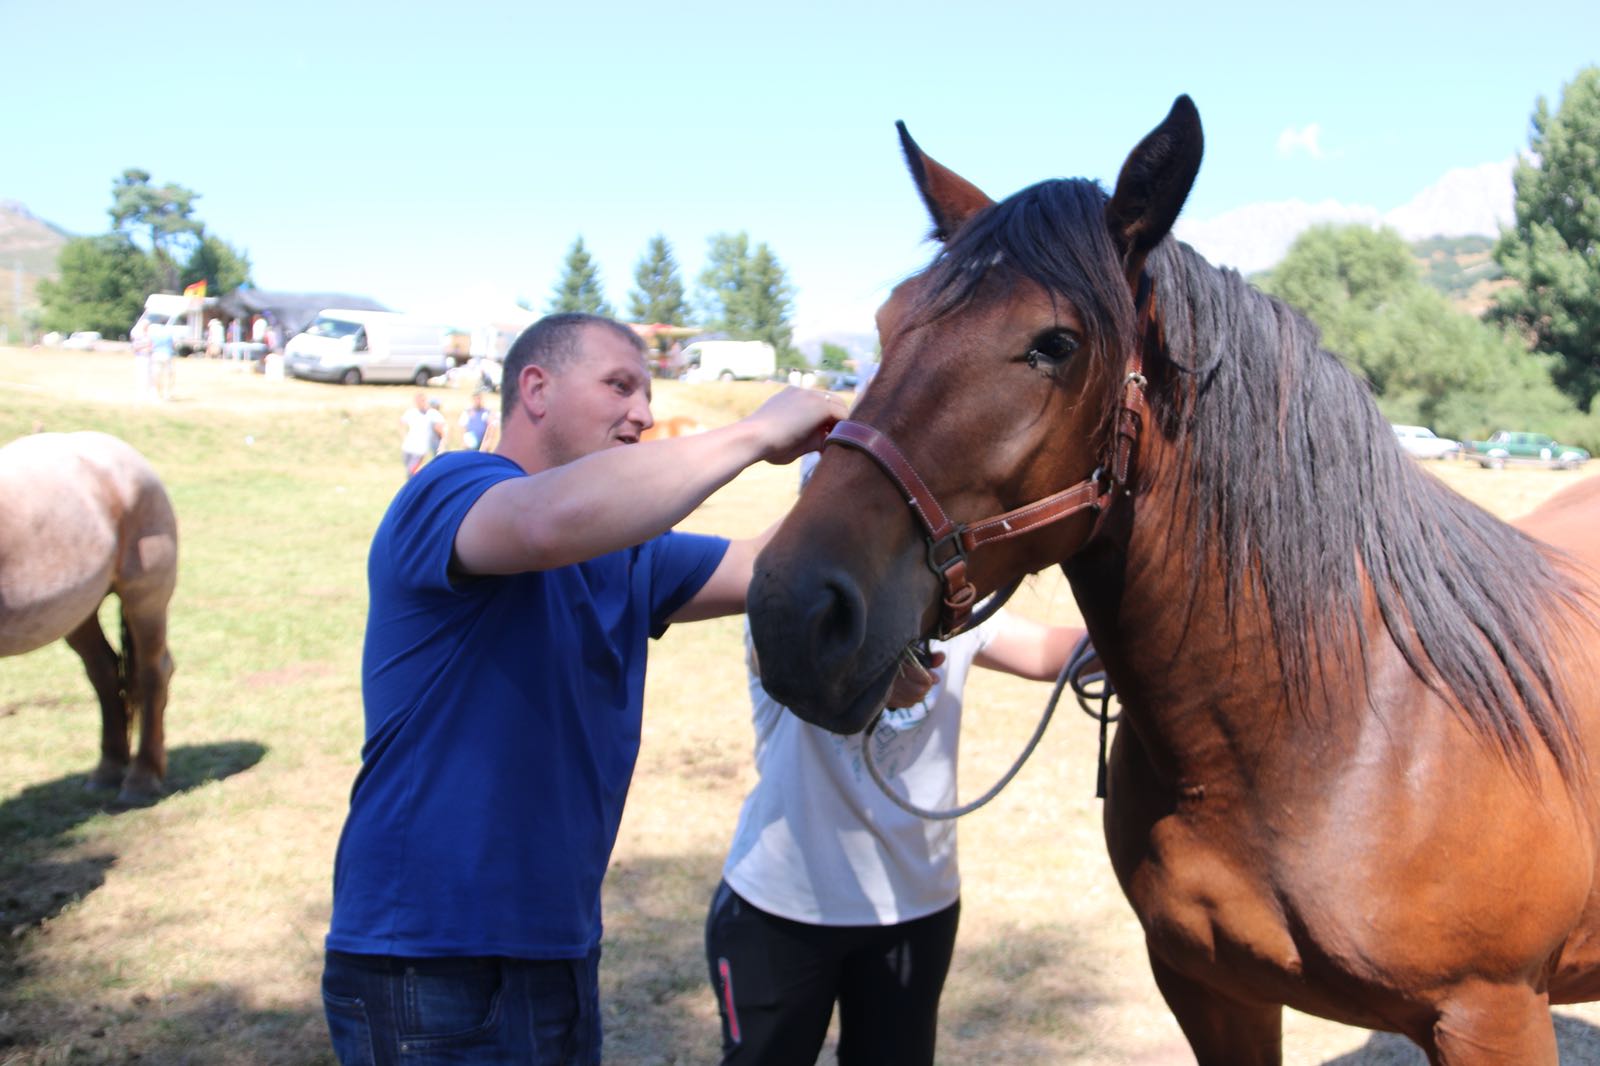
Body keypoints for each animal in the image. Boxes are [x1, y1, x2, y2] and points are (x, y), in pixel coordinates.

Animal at [0, 428, 176, 800]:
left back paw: (142, 777)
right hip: (78, 612)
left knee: (153, 672)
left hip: (146, 598)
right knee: (105, 672)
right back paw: (108, 769)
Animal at [748, 95, 1600, 1056]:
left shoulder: (1492, 1017)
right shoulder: (1210, 991)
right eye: (889, 321)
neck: (1339, 732)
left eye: (1055, 343)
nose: (794, 610)